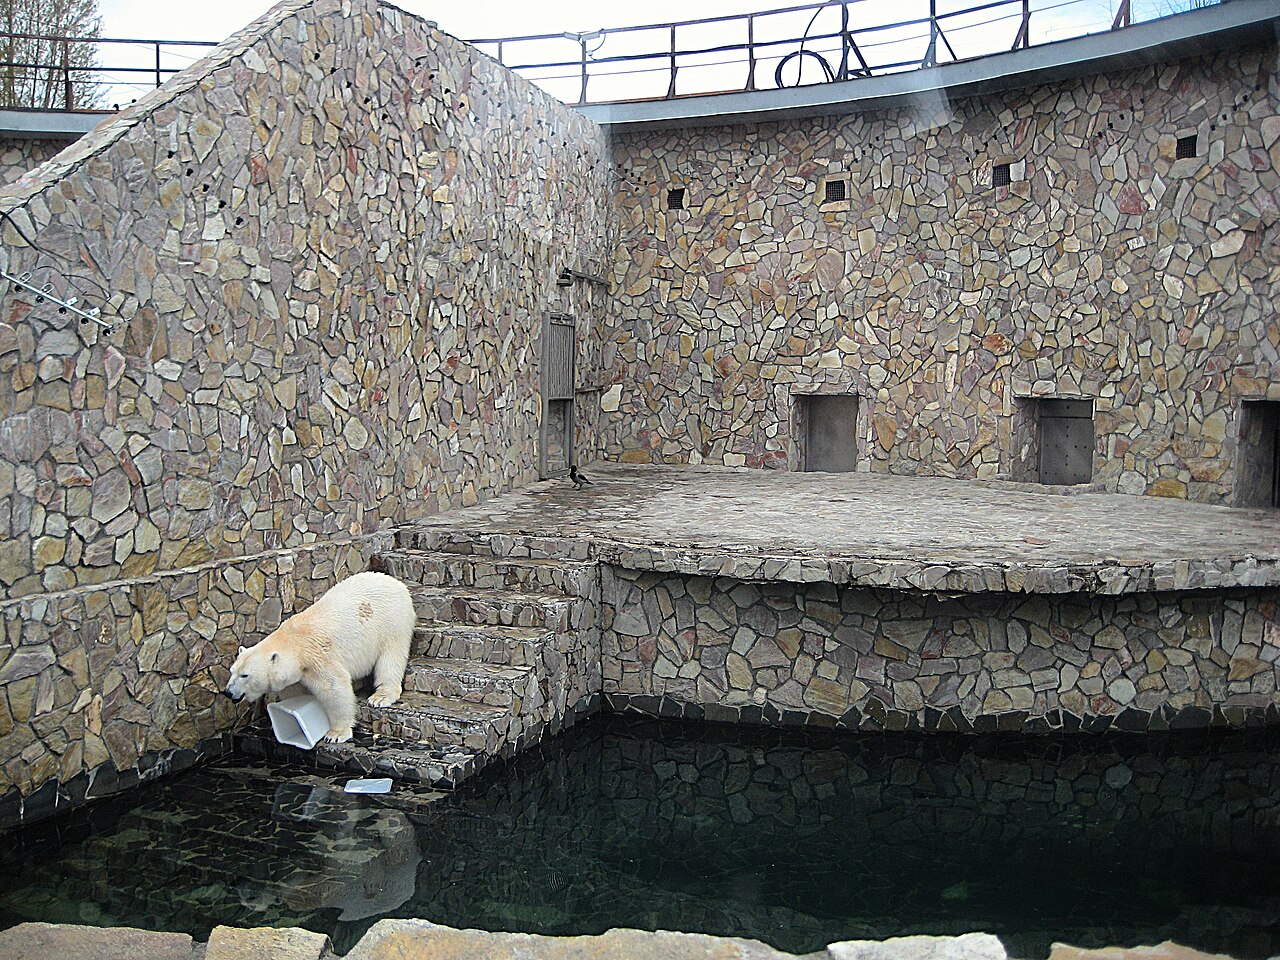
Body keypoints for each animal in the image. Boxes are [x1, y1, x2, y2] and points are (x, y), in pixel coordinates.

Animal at [225, 570, 415, 743]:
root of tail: (397, 583)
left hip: (392, 621)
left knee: (390, 658)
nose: (227, 692)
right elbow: (294, 692)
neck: (294, 641)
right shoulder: (295, 675)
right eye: (232, 671)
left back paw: (380, 696)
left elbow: (334, 689)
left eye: (245, 675)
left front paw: (335, 734)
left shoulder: (317, 659)